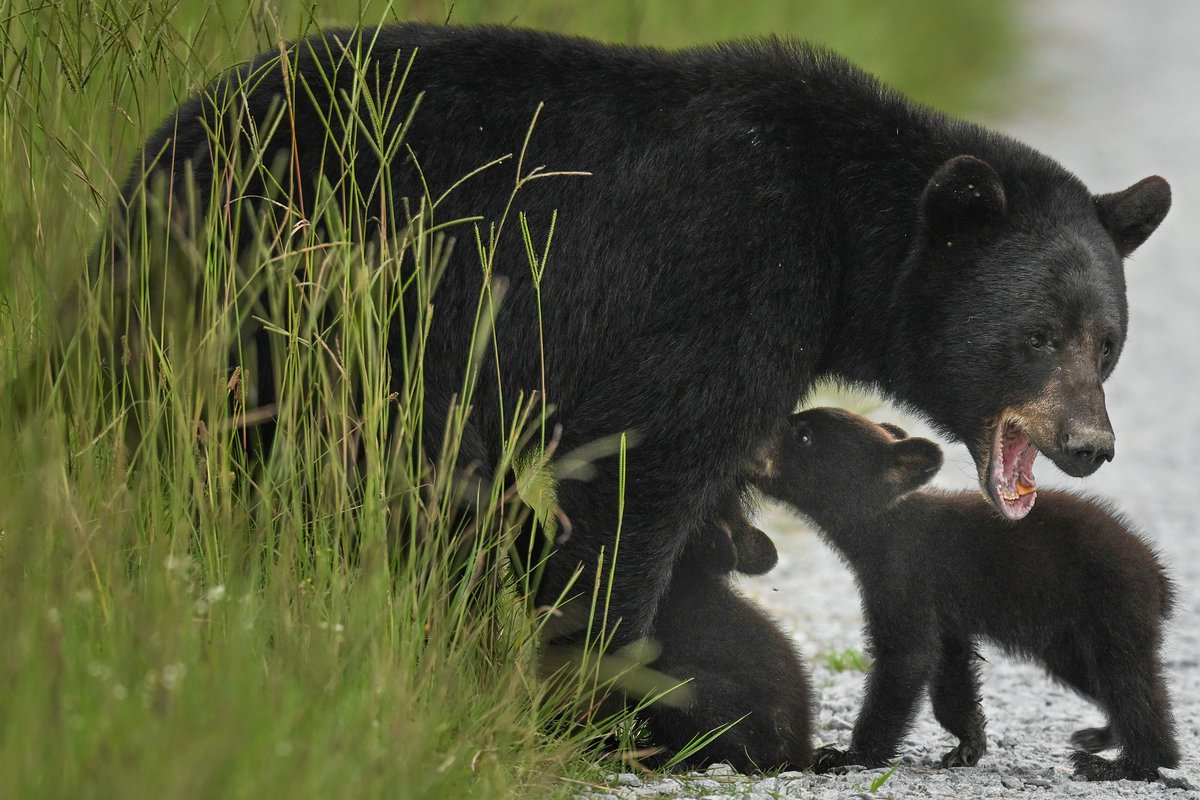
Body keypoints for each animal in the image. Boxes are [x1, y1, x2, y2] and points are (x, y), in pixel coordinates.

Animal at [753, 407, 1176, 782]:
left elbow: (906, 657)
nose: (757, 435)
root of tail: (1156, 575)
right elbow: (951, 672)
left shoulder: (904, 575)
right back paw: (1102, 737)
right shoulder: (947, 614)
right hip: (1069, 640)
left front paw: (849, 755)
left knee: (1130, 685)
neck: (886, 523)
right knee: (1100, 681)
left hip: (1112, 609)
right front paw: (968, 744)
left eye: (804, 436)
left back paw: (1126, 765)